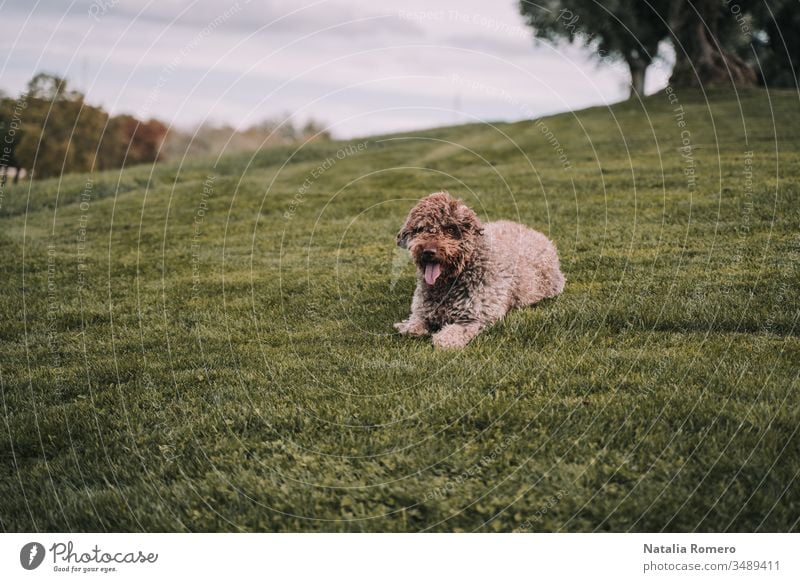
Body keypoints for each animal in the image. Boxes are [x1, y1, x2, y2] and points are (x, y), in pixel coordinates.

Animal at [394, 192, 564, 350]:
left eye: (450, 228)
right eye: (420, 229)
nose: (428, 251)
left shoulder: (474, 317)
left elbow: (451, 334)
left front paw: (443, 338)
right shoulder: (422, 310)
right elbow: (414, 324)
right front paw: (408, 326)